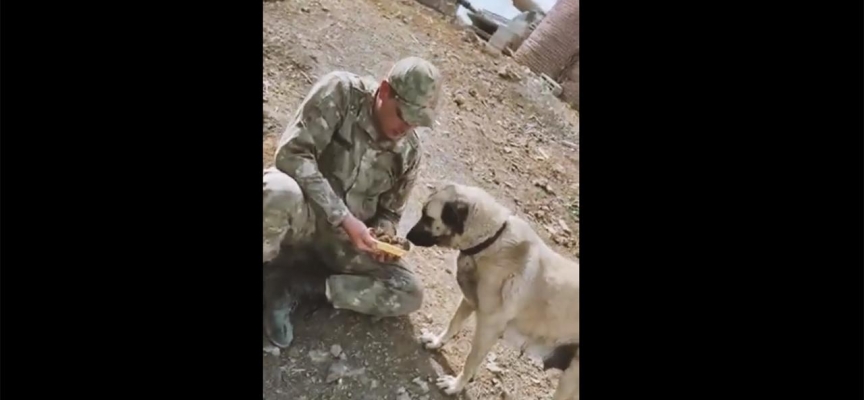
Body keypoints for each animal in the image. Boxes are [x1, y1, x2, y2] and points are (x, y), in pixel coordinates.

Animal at [406, 183, 580, 398]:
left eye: (428, 217)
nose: (407, 236)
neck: (490, 239)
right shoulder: (470, 301)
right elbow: (454, 324)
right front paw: (437, 342)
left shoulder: (488, 327)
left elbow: (471, 361)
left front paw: (456, 386)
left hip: (571, 377)